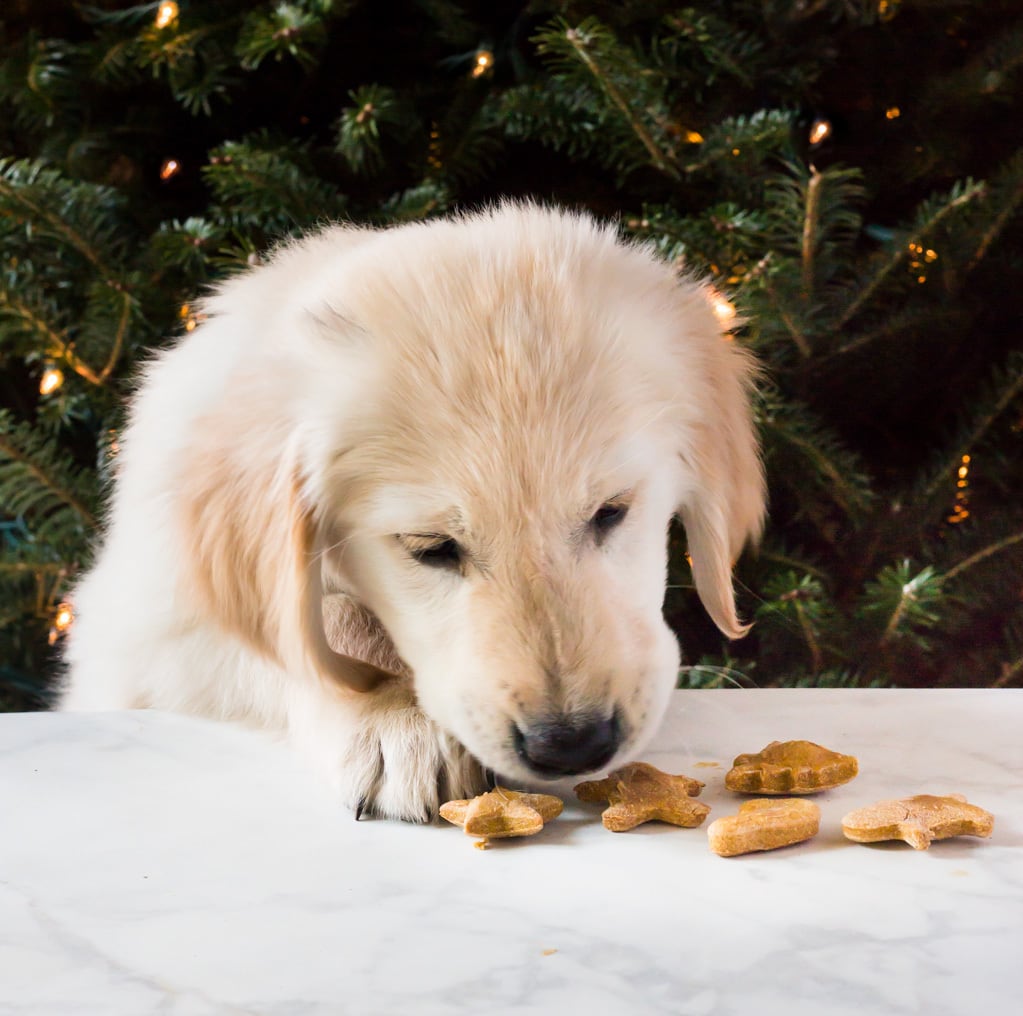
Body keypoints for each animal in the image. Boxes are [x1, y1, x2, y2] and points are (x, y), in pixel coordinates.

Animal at [56, 202, 761, 822]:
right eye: (431, 547)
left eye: (612, 512)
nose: (573, 744)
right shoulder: (143, 635)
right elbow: (321, 627)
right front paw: (399, 719)